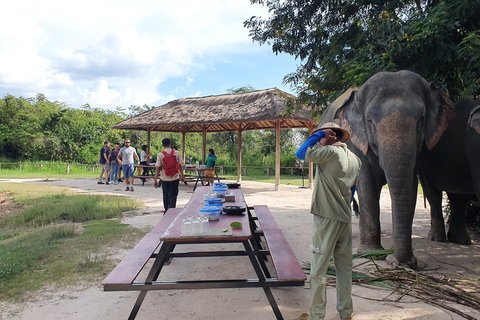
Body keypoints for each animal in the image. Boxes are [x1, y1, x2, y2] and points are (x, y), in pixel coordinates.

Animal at [316, 70, 456, 268]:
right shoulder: (356, 141)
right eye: (370, 122)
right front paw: (372, 253)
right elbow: (366, 184)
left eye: (420, 120)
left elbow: (410, 186)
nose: (395, 260)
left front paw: (403, 260)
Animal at [416, 99, 480, 244]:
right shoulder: (475, 145)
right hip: (423, 159)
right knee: (433, 193)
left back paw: (461, 241)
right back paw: (437, 238)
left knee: (459, 197)